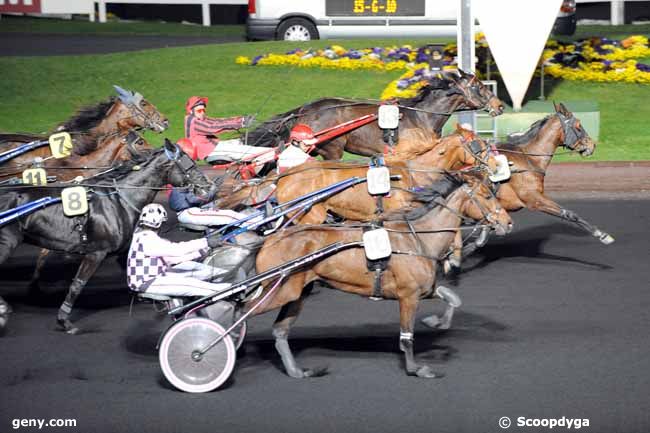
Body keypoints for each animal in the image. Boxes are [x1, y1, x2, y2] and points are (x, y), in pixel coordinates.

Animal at [0, 140, 210, 332]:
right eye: (188, 163)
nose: (208, 185)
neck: (119, 201)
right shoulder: (96, 253)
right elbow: (77, 284)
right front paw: (64, 321)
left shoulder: (124, 250)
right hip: (6, 242)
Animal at [248, 176, 512, 378]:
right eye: (487, 196)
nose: (507, 223)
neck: (418, 238)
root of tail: (270, 239)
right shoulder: (408, 296)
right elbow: (407, 337)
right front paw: (416, 369)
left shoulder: (422, 290)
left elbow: (452, 298)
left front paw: (437, 322)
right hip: (278, 290)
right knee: (245, 311)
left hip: (298, 292)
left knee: (280, 331)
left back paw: (297, 371)